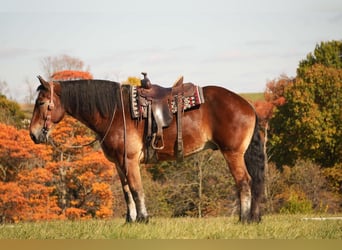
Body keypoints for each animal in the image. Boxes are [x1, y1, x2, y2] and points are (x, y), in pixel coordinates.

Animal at [29, 74, 264, 223]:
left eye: (41, 103)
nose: (33, 134)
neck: (116, 112)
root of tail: (248, 105)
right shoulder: (119, 163)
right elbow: (126, 192)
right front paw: (130, 220)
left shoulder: (130, 160)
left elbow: (136, 189)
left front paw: (143, 219)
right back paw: (251, 217)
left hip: (232, 154)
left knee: (244, 182)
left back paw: (244, 219)